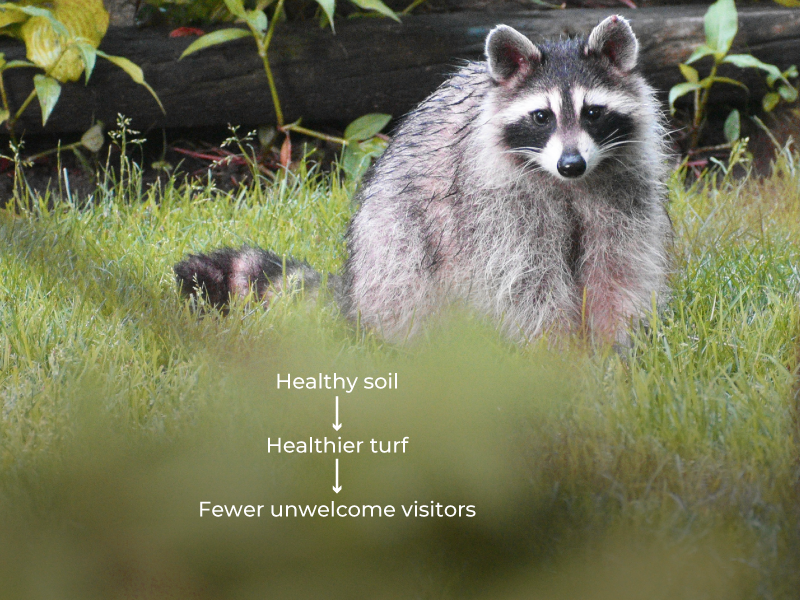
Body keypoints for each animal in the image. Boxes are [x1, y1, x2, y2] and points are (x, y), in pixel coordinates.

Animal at [175, 16, 671, 345]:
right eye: (541, 117)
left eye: (593, 112)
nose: (571, 164)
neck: (567, 186)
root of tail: (354, 292)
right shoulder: (495, 206)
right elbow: (524, 281)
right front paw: (559, 350)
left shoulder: (622, 187)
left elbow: (617, 267)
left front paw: (614, 346)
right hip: (388, 243)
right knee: (407, 269)